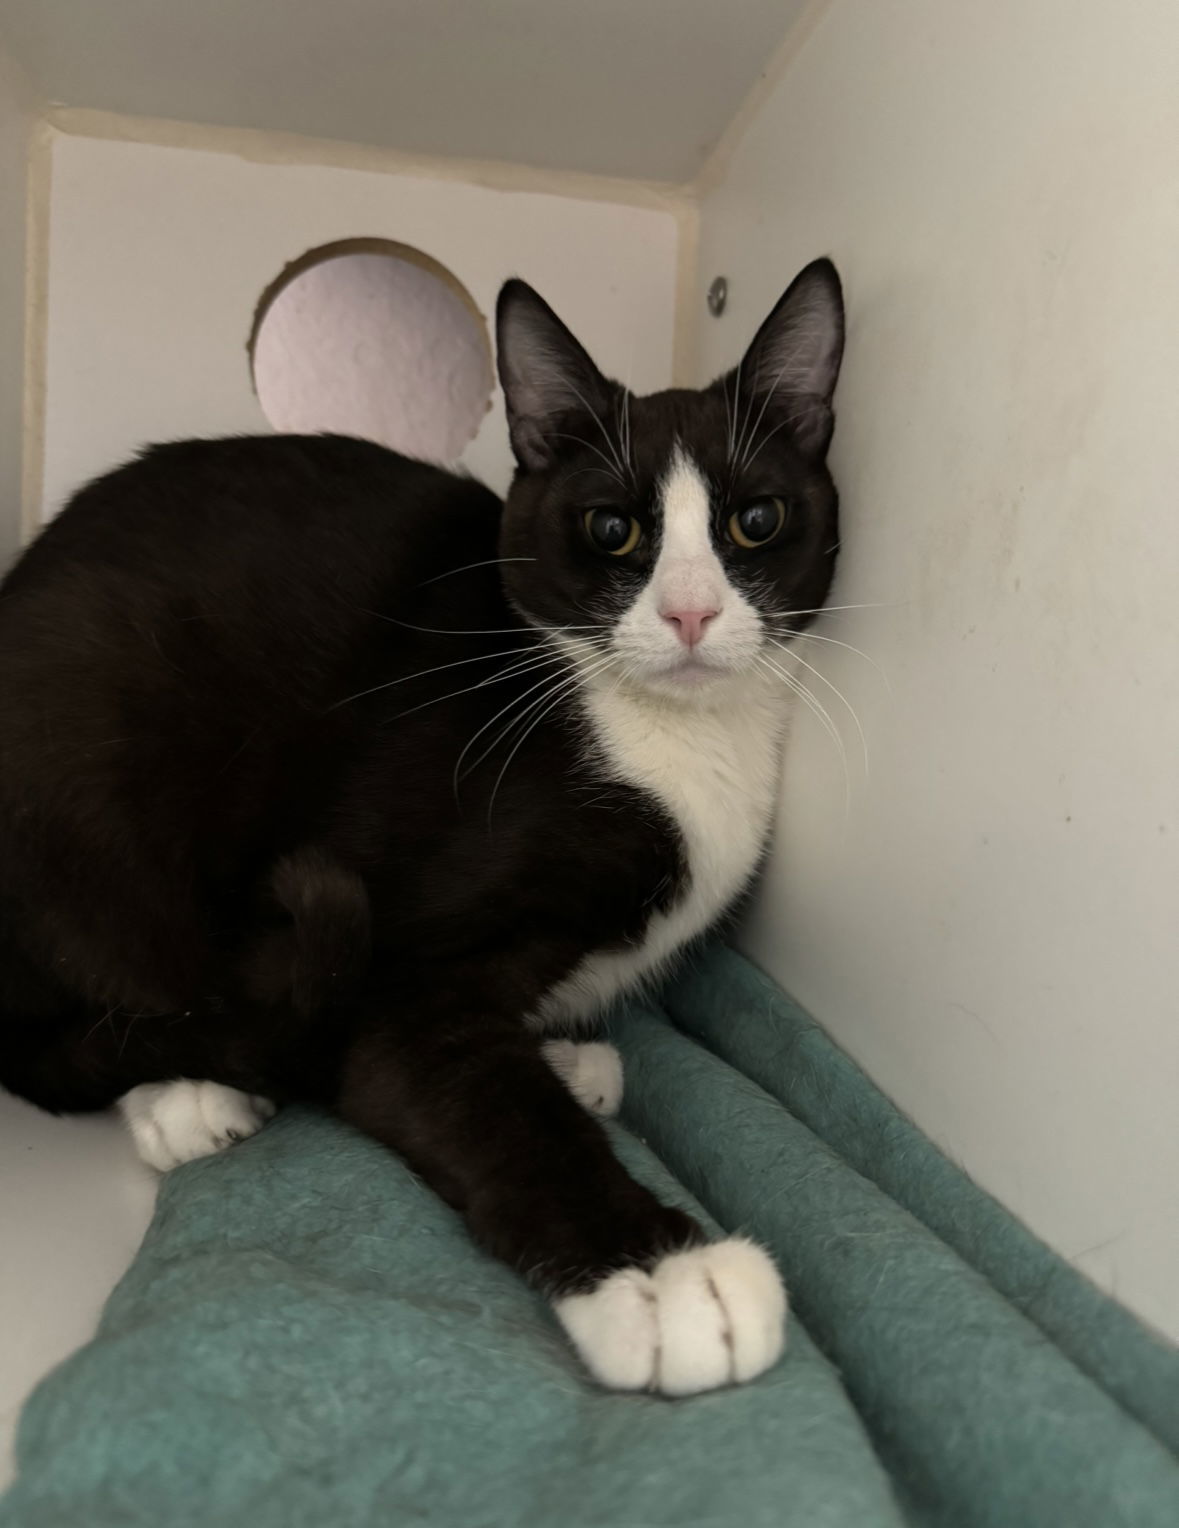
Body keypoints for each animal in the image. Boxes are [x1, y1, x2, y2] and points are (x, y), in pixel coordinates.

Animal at [0, 256, 849, 1393]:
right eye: (612, 529)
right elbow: (490, 1106)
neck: (670, 741)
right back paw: (186, 1092)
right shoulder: (394, 972)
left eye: (754, 520)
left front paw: (562, 1063)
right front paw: (668, 1280)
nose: (689, 614)